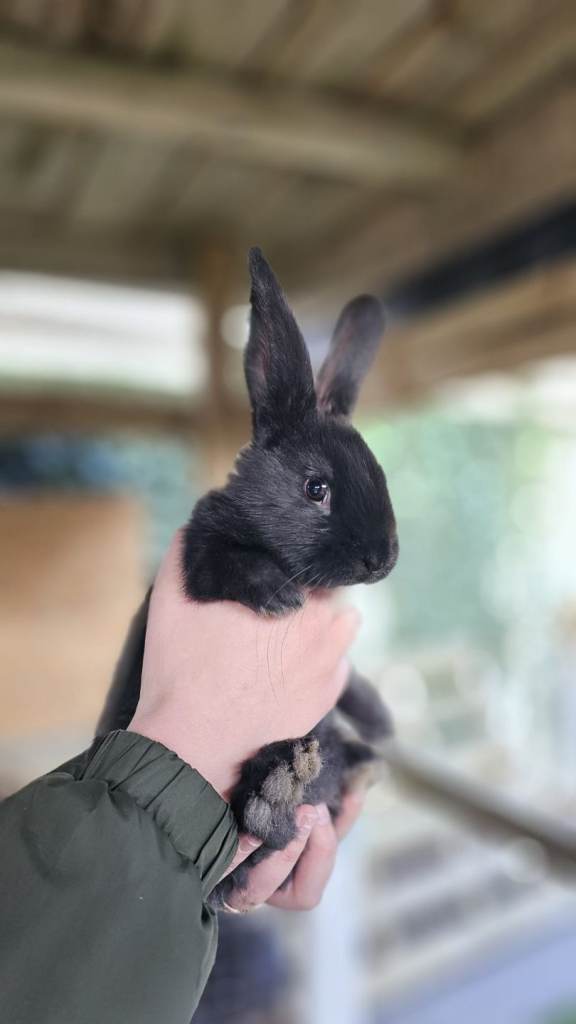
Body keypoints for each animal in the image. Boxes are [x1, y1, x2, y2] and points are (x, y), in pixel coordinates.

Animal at [97, 247, 398, 909]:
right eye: (316, 488)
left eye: (382, 475)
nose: (383, 557)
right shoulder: (200, 558)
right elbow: (232, 563)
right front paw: (280, 598)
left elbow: (351, 682)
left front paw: (381, 718)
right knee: (259, 824)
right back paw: (281, 788)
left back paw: (345, 763)